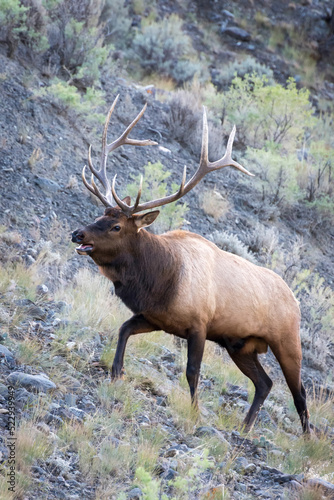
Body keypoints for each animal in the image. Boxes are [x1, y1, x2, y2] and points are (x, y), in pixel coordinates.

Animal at [72, 94, 310, 434]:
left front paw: (195, 412)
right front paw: (116, 373)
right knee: (265, 383)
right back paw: (245, 426)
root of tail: (296, 300)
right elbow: (123, 329)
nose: (77, 233)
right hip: (241, 345)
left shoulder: (200, 324)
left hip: (287, 341)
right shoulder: (156, 318)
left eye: (116, 226)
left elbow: (192, 371)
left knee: (299, 393)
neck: (159, 280)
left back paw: (306, 439)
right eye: (100, 214)